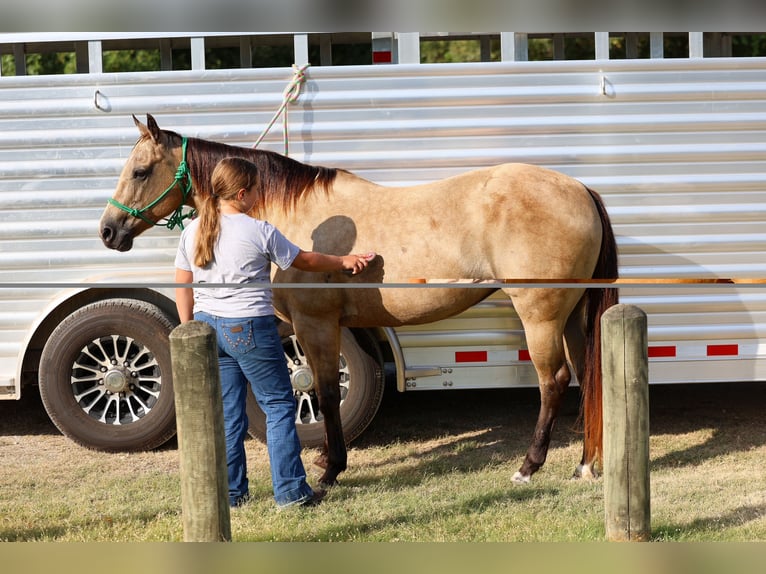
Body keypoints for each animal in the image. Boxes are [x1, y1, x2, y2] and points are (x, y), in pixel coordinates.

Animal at [100, 114, 619, 487]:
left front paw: (331, 469)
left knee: (553, 381)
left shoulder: (316, 324)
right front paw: (328, 459)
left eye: (140, 171)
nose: (108, 231)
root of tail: (580, 189)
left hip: (540, 313)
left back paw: (529, 467)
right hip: (571, 315)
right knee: (585, 375)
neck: (291, 215)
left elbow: (325, 392)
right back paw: (586, 466)